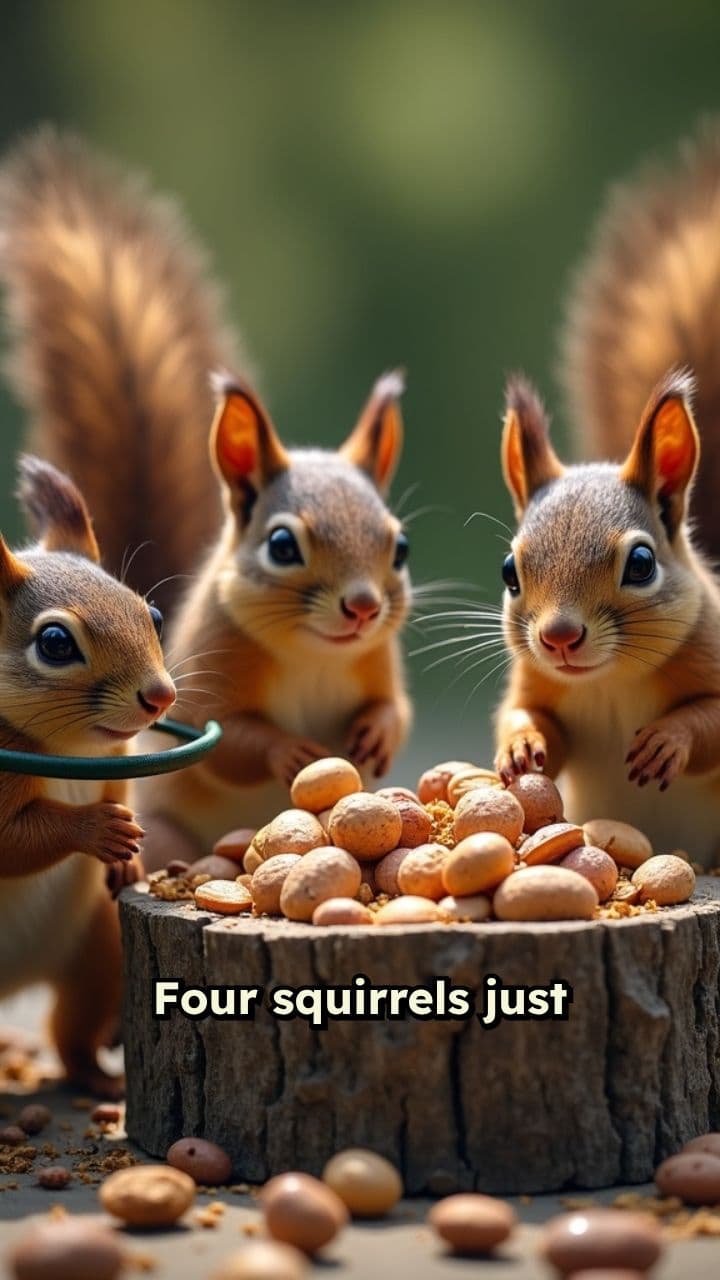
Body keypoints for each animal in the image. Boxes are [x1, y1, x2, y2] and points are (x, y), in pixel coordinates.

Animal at [0, 130, 412, 870]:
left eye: (400, 547)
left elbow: (396, 707)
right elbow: (234, 744)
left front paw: (378, 733)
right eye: (281, 545)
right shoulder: (212, 668)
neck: (317, 654)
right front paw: (291, 749)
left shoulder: (377, 660)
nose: (363, 608)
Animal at [0, 454, 175, 1094]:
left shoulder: (118, 758)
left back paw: (98, 1079)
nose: (160, 697)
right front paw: (98, 829)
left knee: (70, 1030)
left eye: (152, 613)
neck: (69, 747)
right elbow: (14, 842)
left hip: (98, 949)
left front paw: (130, 858)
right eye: (55, 643)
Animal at [495, 121, 720, 867]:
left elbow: (711, 722)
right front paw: (521, 743)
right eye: (510, 571)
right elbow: (532, 719)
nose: (559, 637)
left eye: (642, 564)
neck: (608, 680)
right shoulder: (539, 680)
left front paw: (668, 740)